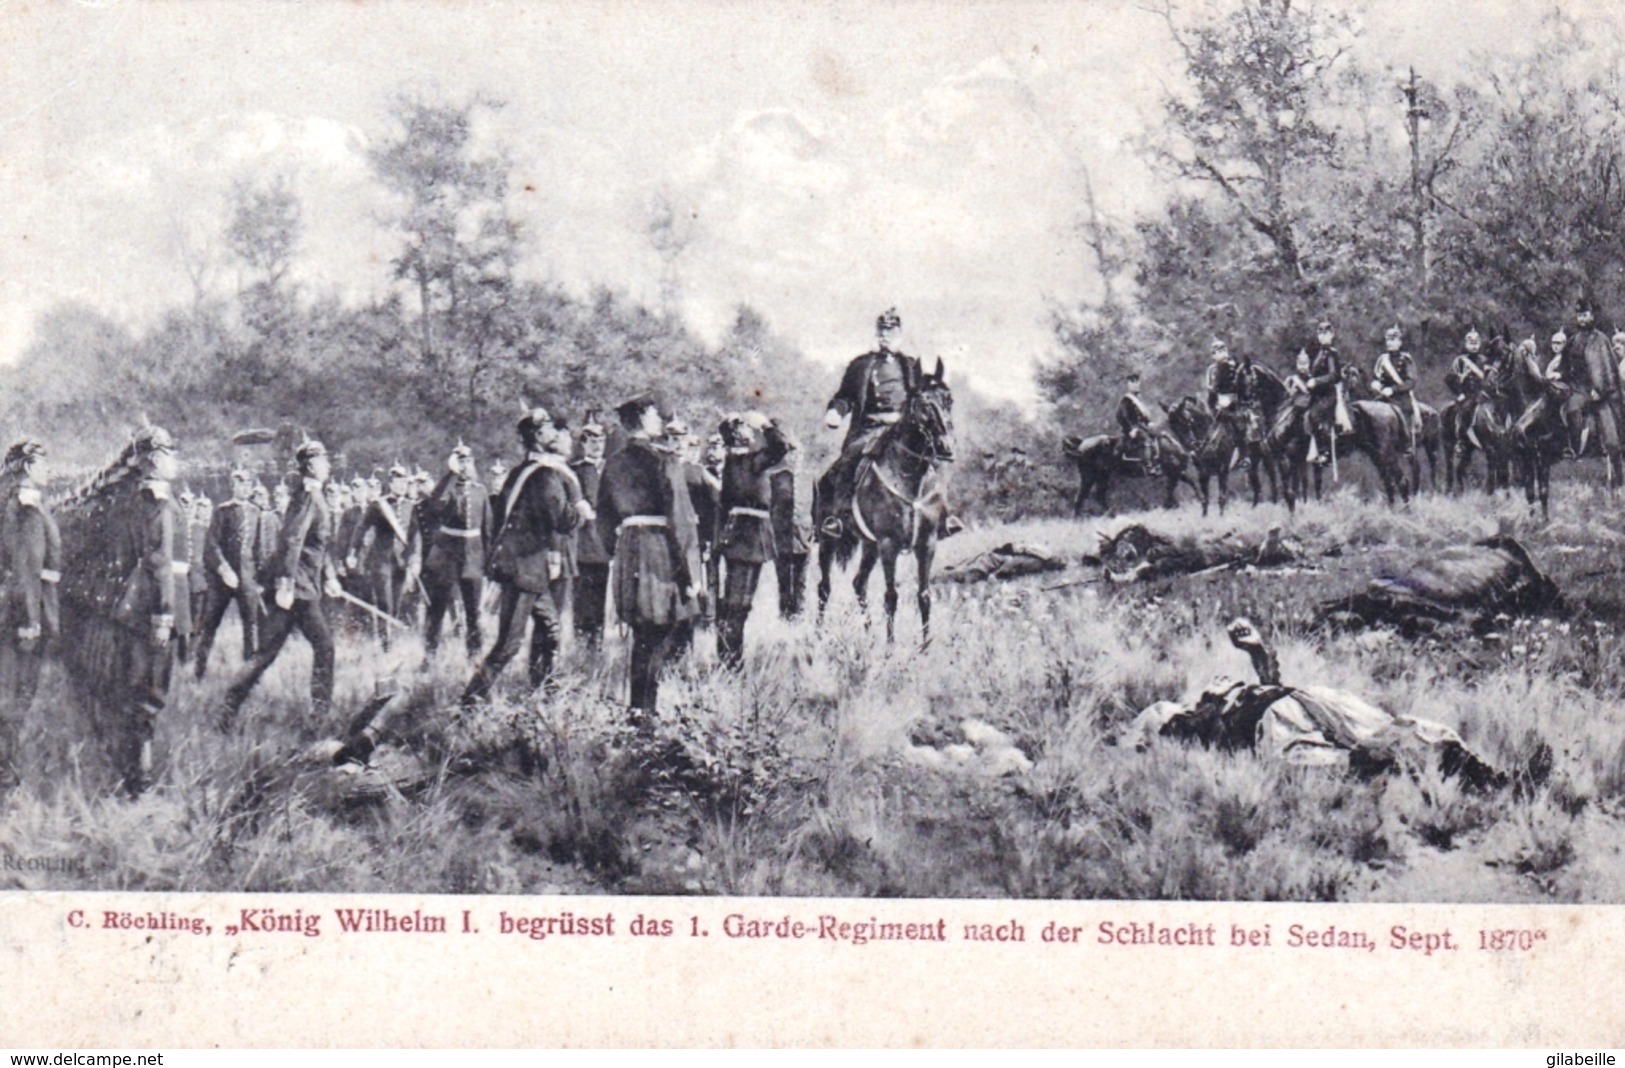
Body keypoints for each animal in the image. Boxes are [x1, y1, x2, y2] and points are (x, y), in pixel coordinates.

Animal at [812, 360, 949, 640]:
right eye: (925, 403)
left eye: (948, 399)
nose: (945, 447)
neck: (911, 479)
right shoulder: (889, 544)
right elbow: (891, 596)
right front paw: (890, 646)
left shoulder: (927, 544)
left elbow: (924, 596)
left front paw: (926, 645)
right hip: (829, 541)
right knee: (824, 587)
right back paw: (818, 636)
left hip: (869, 546)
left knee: (859, 583)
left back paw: (868, 635)